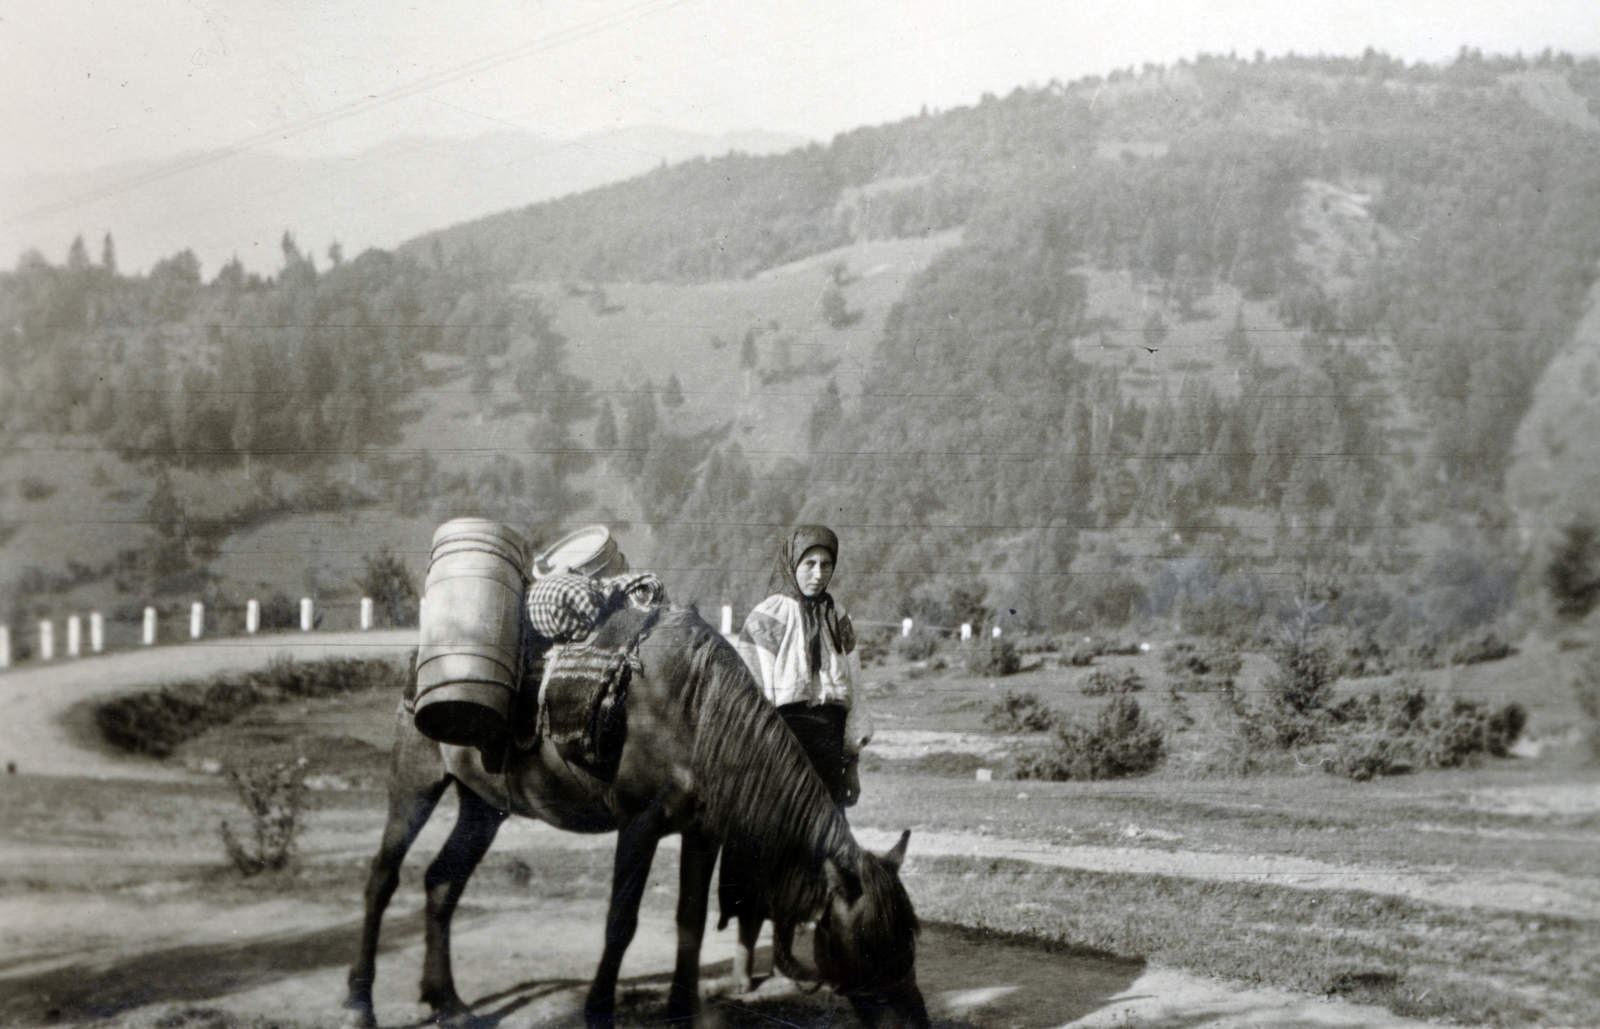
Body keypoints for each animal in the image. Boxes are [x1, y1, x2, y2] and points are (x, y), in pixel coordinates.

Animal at [344, 608, 934, 1029]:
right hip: (416, 779)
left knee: (442, 882)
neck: (699, 715)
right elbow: (620, 921)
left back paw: (447, 1001)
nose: (915, 1023)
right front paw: (598, 1009)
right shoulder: (640, 825)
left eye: (910, 937)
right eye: (866, 944)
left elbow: (690, 920)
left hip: (483, 805)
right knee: (382, 877)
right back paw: (359, 1002)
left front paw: (681, 1008)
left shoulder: (702, 833)